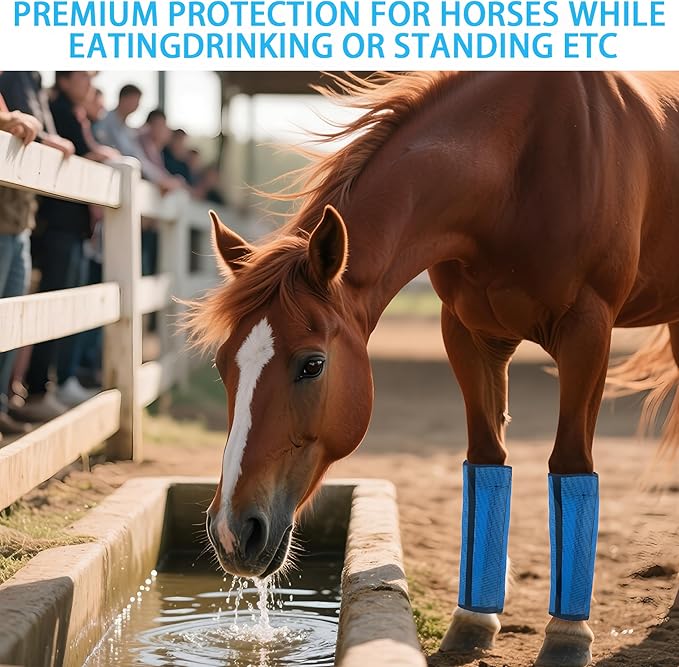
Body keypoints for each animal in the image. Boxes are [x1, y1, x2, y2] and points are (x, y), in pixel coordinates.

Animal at [186, 72, 679, 667]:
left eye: (312, 364)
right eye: (222, 366)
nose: (233, 532)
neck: (520, 164)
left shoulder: (588, 331)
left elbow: (570, 464)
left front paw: (567, 634)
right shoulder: (468, 335)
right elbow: (486, 459)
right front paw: (472, 622)